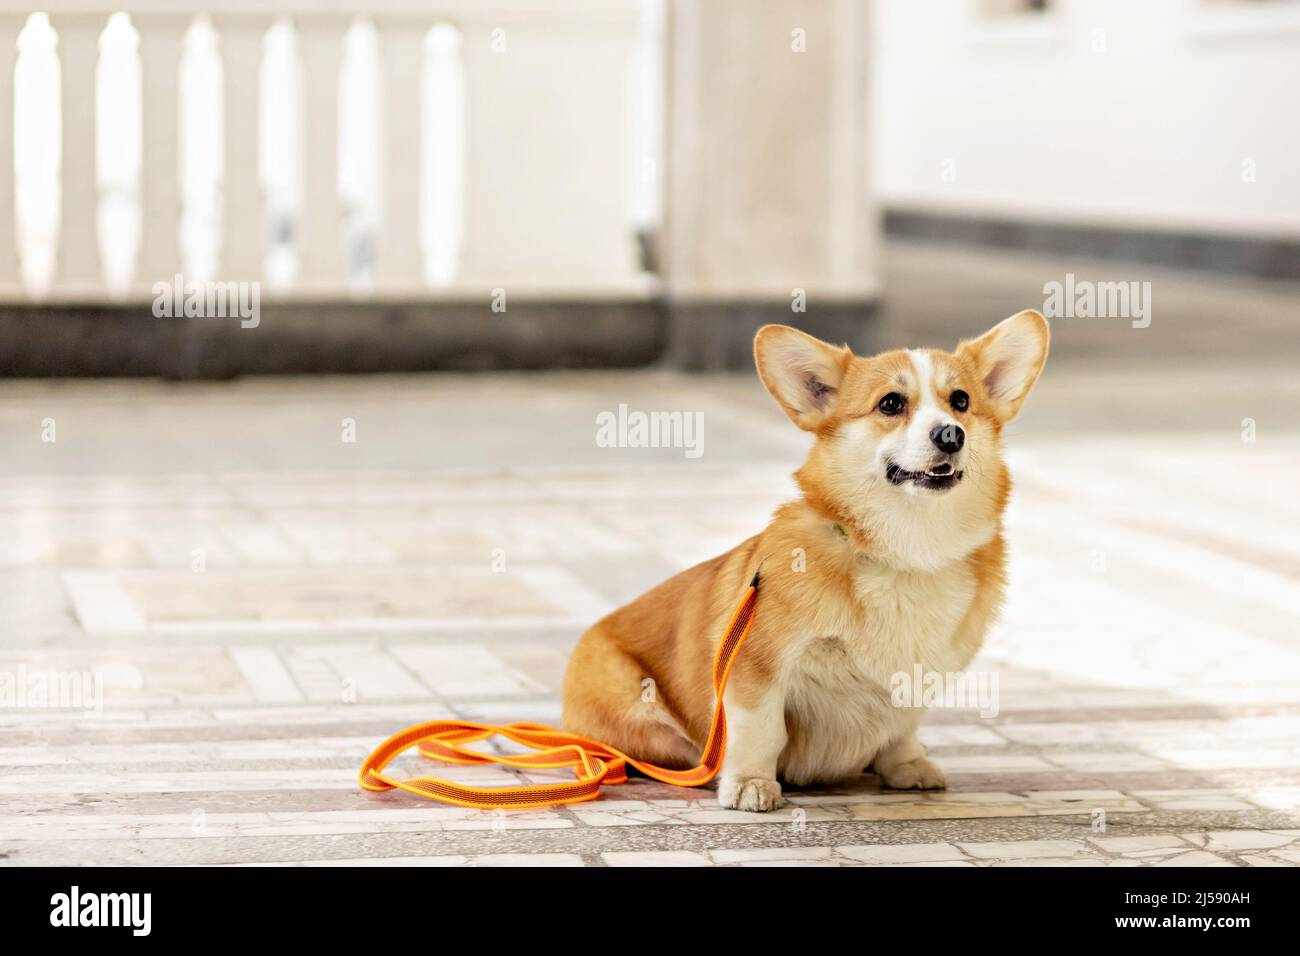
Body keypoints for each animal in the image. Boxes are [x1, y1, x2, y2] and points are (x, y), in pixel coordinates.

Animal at [564, 310, 1050, 811]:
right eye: (891, 403)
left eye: (961, 400)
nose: (951, 434)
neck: (908, 551)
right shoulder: (756, 668)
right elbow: (762, 730)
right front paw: (750, 783)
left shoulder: (916, 678)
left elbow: (902, 729)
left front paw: (907, 766)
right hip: (641, 708)